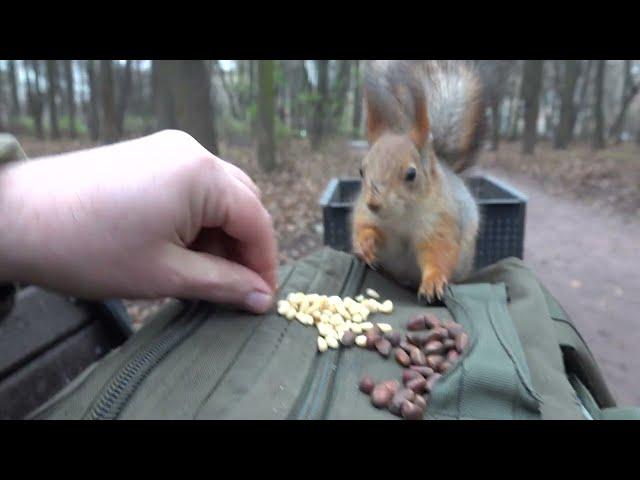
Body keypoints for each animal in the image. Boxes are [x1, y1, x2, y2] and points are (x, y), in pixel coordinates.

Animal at [350, 60, 484, 300]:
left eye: (411, 174)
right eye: (361, 171)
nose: (374, 203)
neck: (401, 217)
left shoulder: (441, 223)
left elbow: (439, 254)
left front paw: (433, 282)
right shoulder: (369, 217)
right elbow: (366, 228)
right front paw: (364, 246)